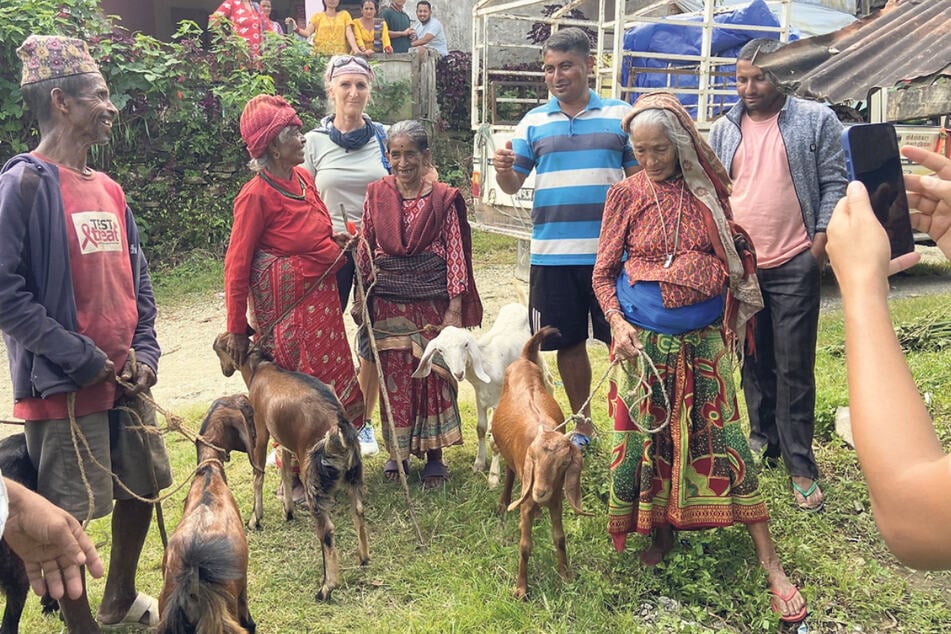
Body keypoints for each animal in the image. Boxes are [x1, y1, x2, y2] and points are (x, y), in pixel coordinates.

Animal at [214, 334, 370, 600]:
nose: (225, 371)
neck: (260, 368)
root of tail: (337, 426)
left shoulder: (261, 430)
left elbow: (258, 473)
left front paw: (255, 519)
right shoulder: (285, 441)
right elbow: (285, 472)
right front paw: (288, 511)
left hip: (313, 478)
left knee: (326, 530)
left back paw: (327, 586)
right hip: (353, 474)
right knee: (358, 510)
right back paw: (364, 558)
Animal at [412, 302, 540, 484]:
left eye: (465, 345)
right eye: (440, 350)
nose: (458, 373)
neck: (485, 363)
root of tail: (515, 304)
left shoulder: (497, 400)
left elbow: (494, 438)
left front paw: (493, 476)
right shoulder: (480, 398)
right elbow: (480, 428)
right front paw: (479, 463)